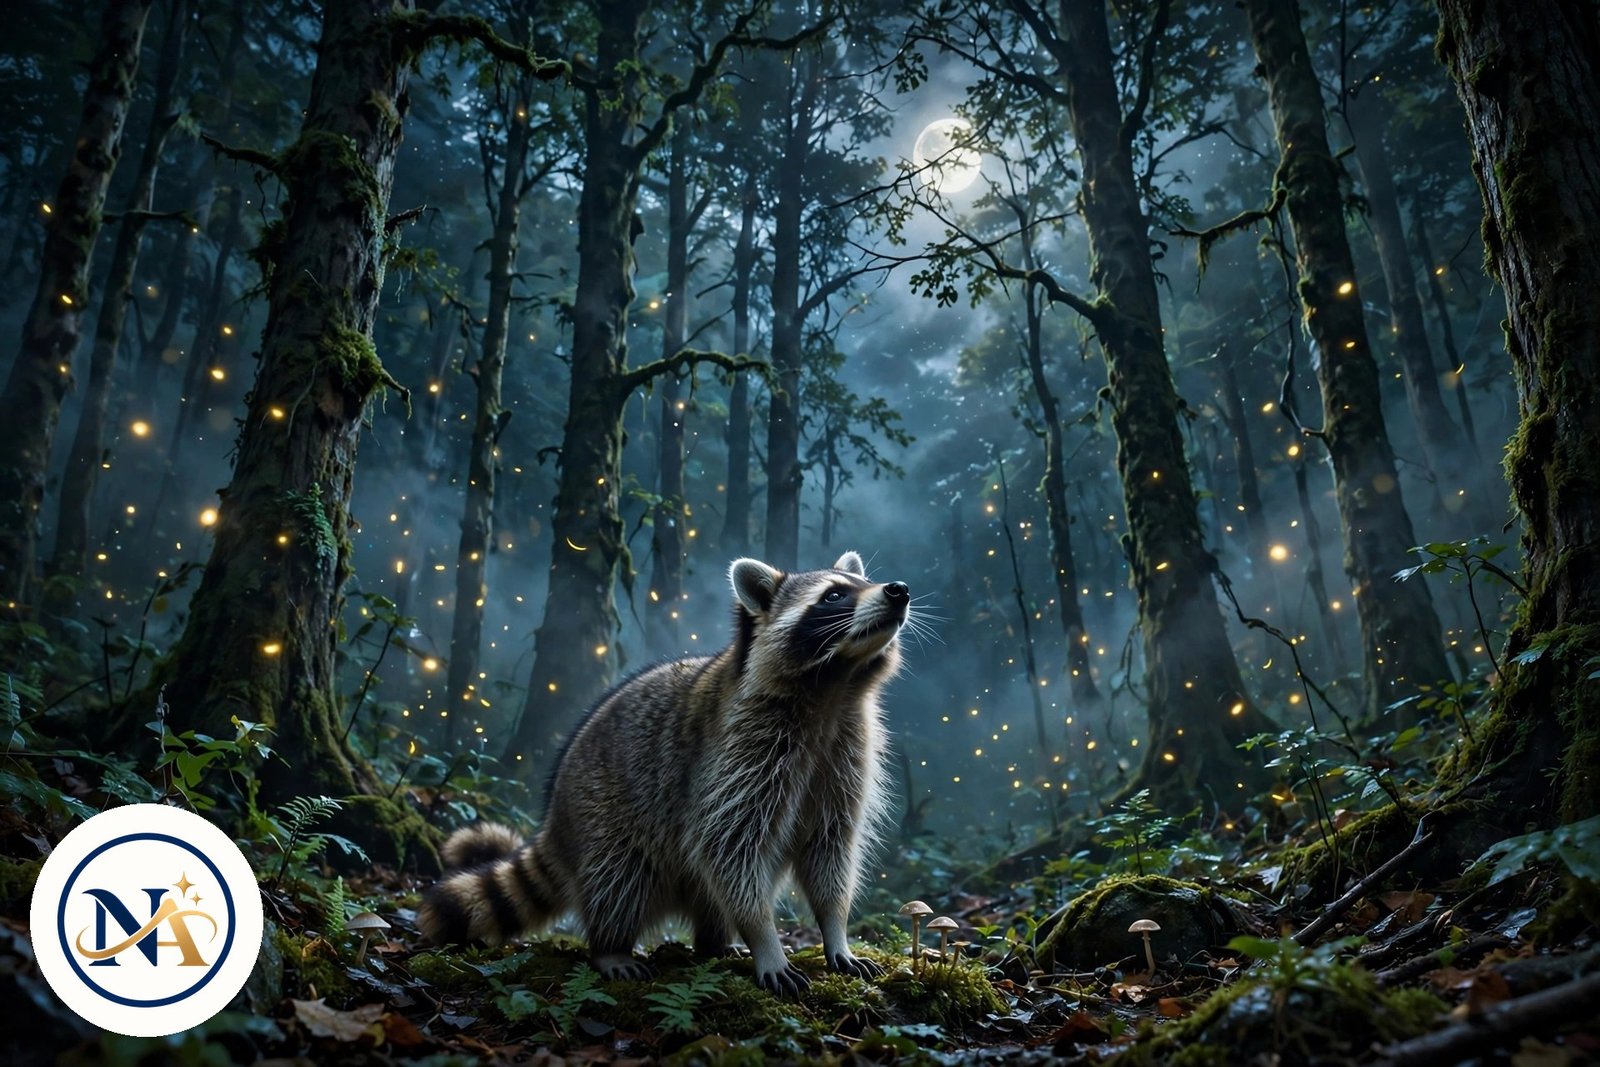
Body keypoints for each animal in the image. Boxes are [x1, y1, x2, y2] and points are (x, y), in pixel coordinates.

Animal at [419, 551, 910, 995]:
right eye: (834, 595)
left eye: (859, 583)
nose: (898, 590)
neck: (837, 686)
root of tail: (555, 819)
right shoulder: (737, 755)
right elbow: (728, 847)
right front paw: (765, 939)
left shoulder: (845, 753)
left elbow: (830, 847)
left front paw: (835, 931)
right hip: (603, 816)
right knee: (620, 879)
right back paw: (610, 946)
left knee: (704, 892)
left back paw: (714, 942)